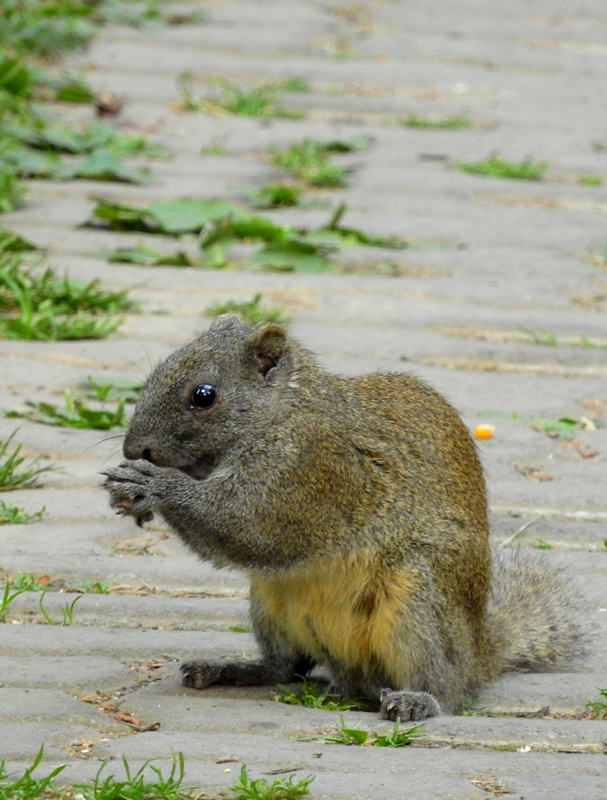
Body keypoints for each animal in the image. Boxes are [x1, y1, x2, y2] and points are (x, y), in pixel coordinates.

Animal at [103, 312, 584, 720]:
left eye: (203, 396)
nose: (134, 447)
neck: (282, 413)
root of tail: (477, 654)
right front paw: (130, 495)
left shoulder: (310, 473)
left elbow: (249, 524)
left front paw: (154, 484)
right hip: (270, 601)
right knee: (287, 667)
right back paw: (228, 668)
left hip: (419, 594)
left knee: (447, 686)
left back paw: (418, 699)